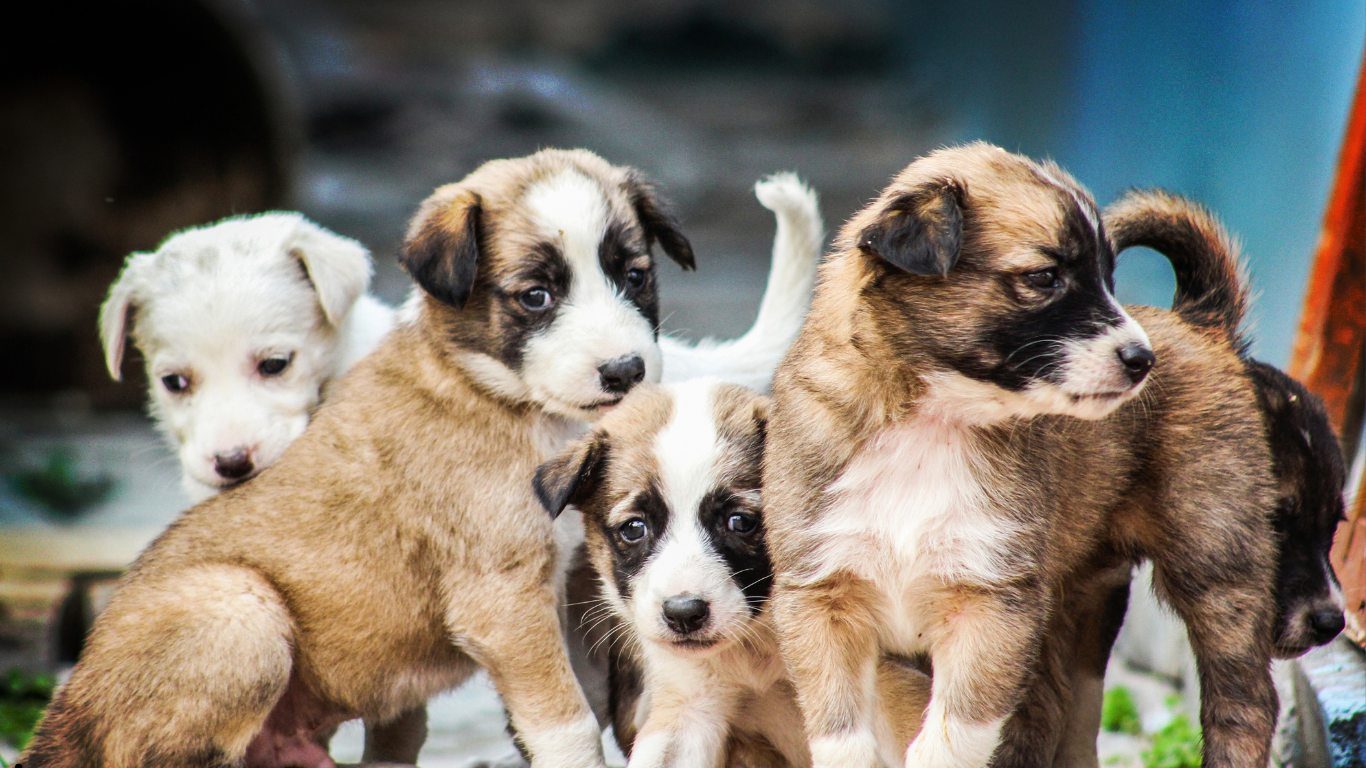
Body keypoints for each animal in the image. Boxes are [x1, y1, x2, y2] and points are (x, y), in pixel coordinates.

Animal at [764, 142, 1273, 765]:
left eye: (1108, 278)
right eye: (1045, 277)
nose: (1142, 360)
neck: (929, 423)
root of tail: (1198, 320)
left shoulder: (992, 605)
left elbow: (948, 739)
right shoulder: (821, 600)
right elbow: (843, 735)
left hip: (1217, 563)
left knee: (1243, 701)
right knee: (1070, 713)